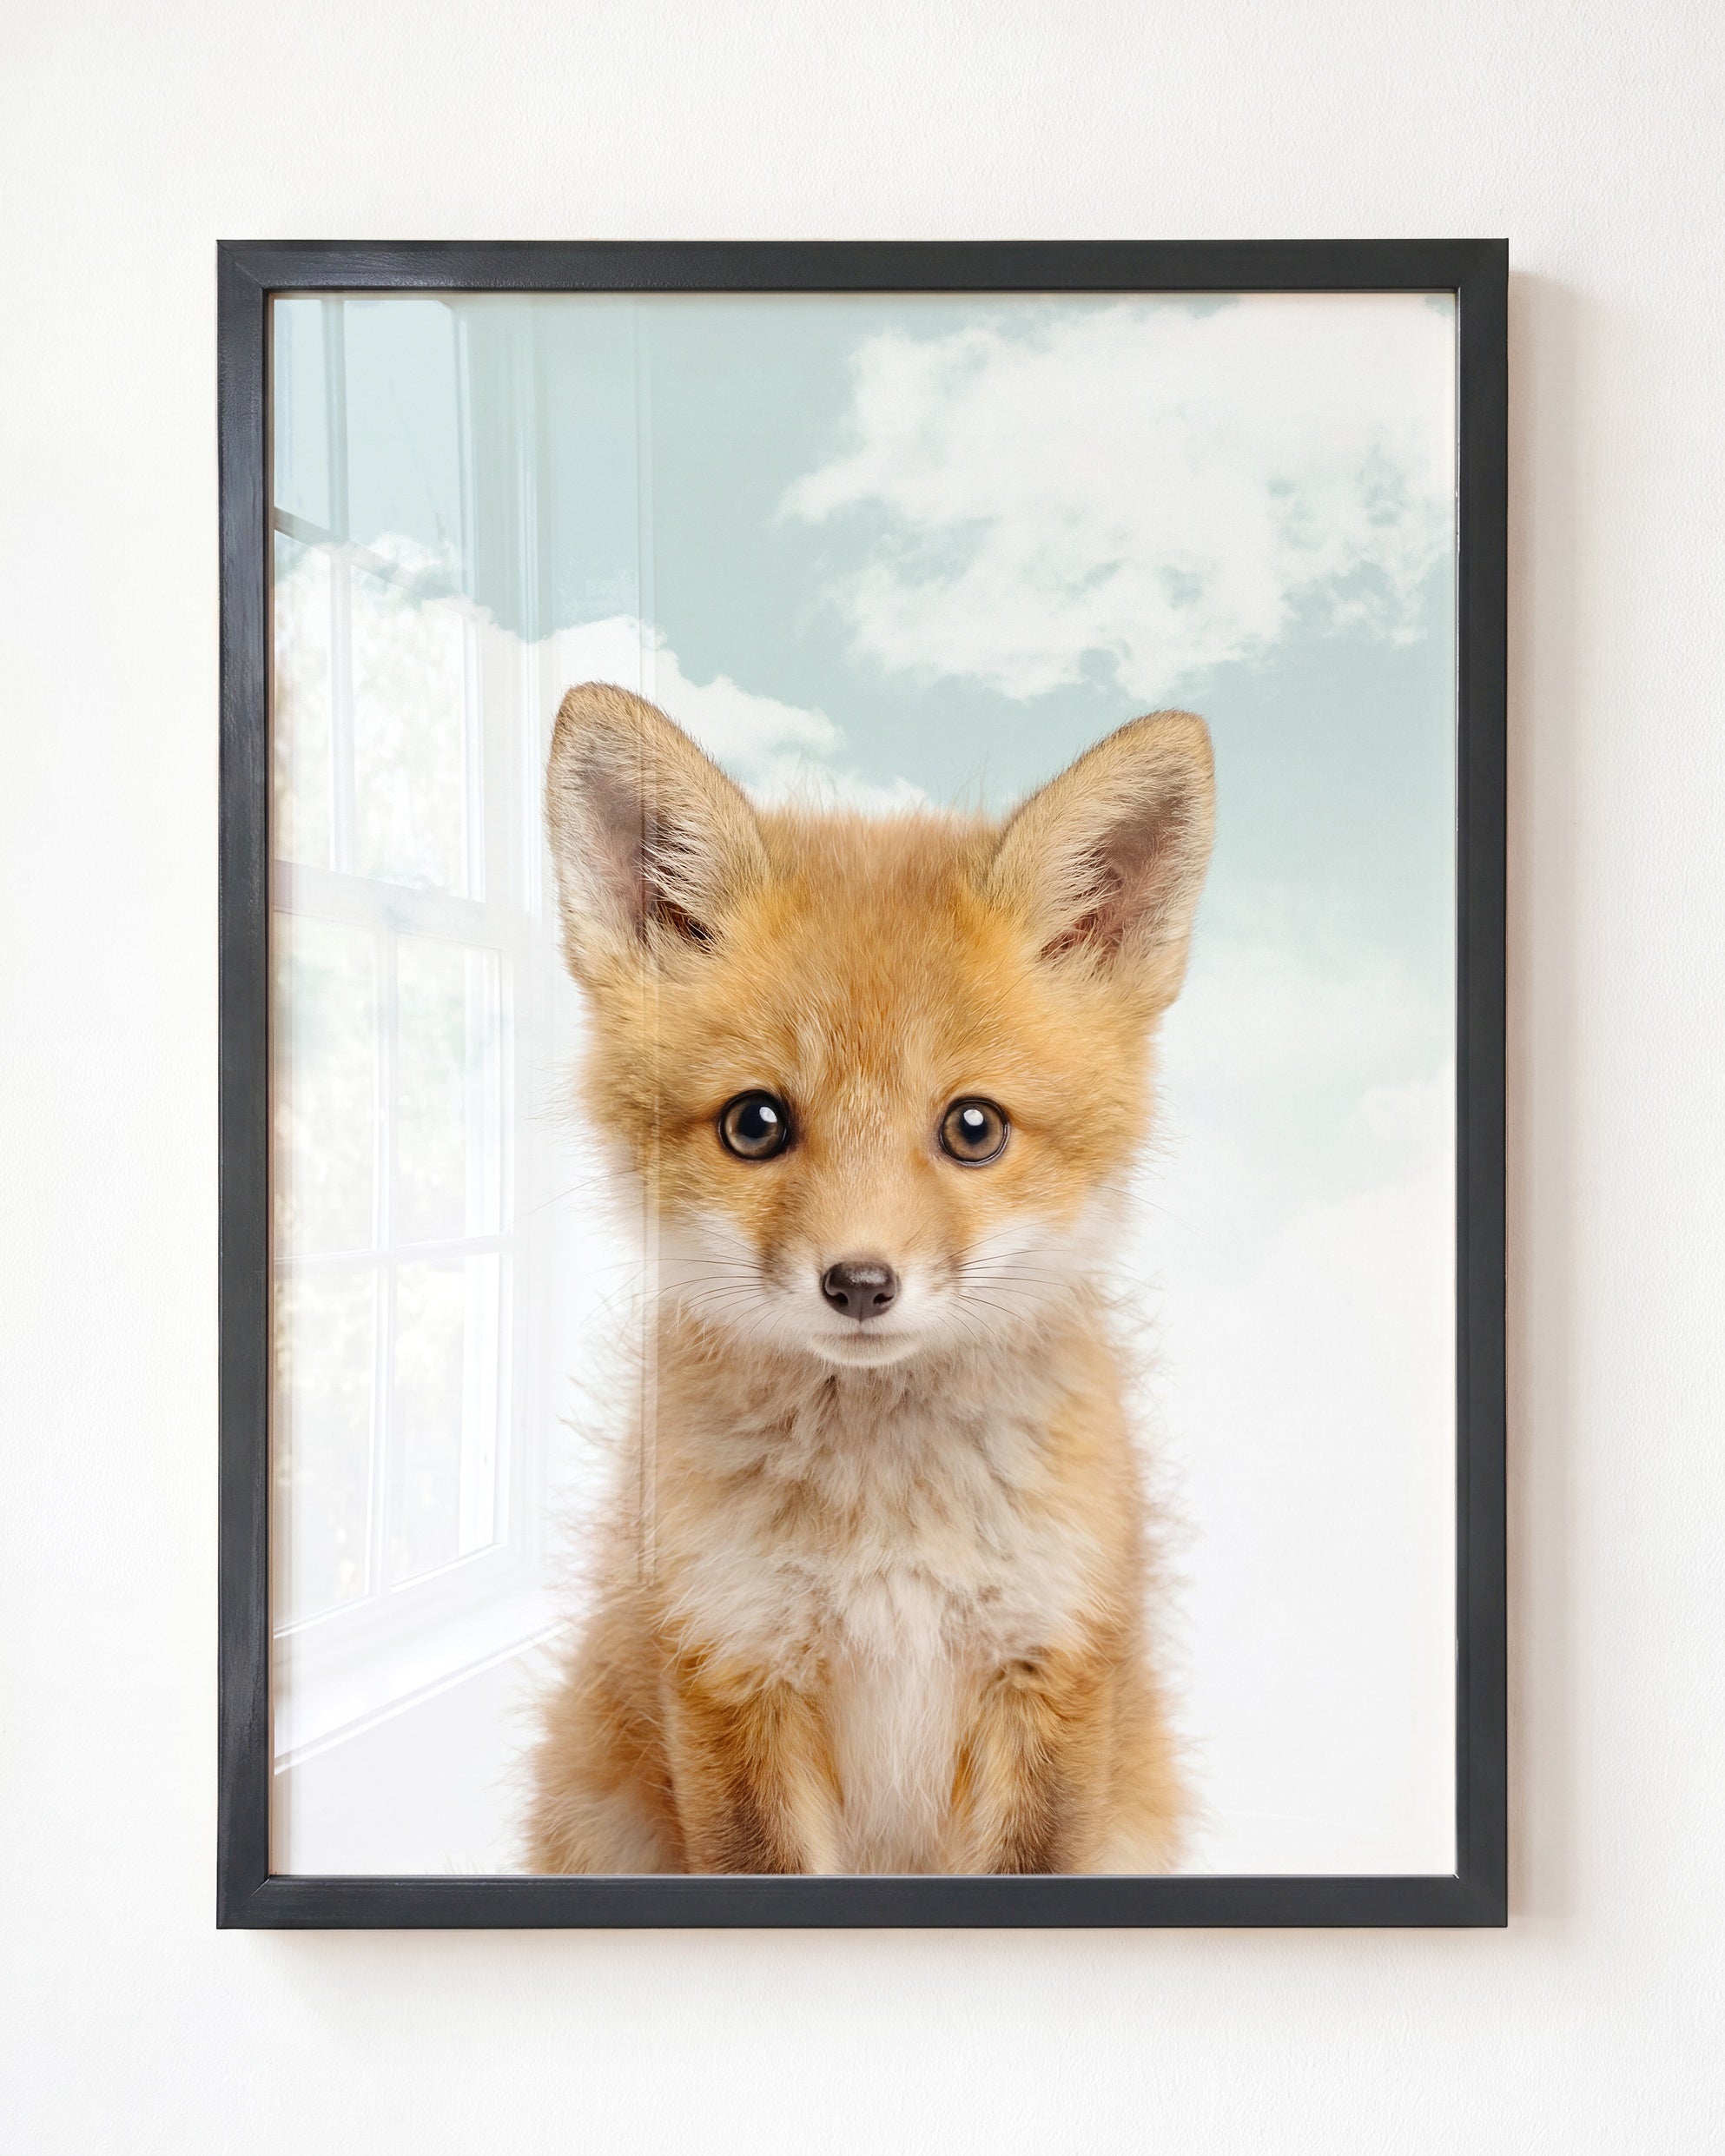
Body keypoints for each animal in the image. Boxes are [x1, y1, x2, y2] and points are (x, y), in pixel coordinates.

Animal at [523, 682, 1215, 1875]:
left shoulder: (1049, 1666)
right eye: (755, 1123)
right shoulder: (731, 1663)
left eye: (974, 1128)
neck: (888, 1531)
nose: (857, 1283)